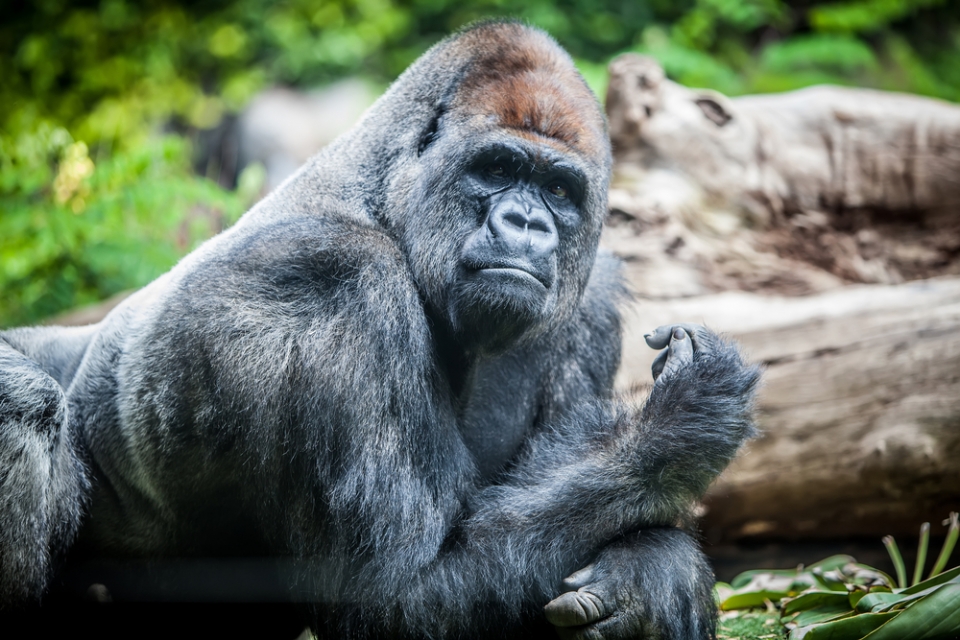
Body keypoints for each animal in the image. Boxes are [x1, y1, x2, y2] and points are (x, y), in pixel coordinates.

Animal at [0, 21, 759, 639]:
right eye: (499, 168)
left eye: (559, 191)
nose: (525, 224)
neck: (384, 195)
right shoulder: (335, 279)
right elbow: (393, 596)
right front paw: (675, 428)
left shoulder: (590, 293)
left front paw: (653, 572)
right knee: (23, 400)